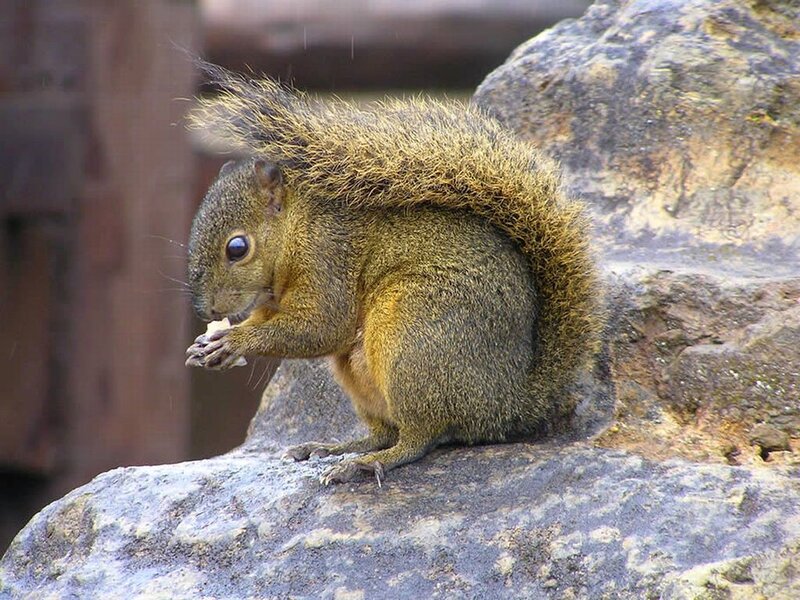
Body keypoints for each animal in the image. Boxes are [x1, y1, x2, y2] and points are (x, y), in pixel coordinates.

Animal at [184, 64, 603, 485]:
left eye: (237, 248)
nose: (206, 311)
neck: (296, 227)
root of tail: (511, 403)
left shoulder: (328, 257)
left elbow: (322, 327)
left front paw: (234, 341)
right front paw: (208, 344)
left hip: (414, 341)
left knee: (420, 437)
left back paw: (370, 463)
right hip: (363, 371)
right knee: (384, 431)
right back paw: (336, 448)